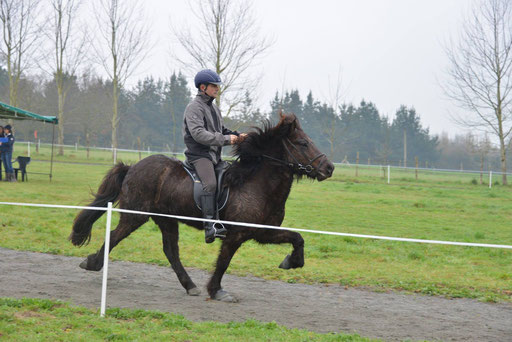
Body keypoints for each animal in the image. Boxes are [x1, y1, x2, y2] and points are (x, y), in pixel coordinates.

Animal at [71, 113, 336, 302]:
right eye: (303, 143)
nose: (329, 168)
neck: (255, 183)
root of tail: (132, 167)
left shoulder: (261, 232)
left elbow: (297, 238)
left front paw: (292, 261)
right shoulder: (235, 234)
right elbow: (223, 262)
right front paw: (216, 290)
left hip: (166, 219)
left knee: (171, 251)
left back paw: (190, 286)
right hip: (135, 216)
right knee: (115, 236)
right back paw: (93, 263)